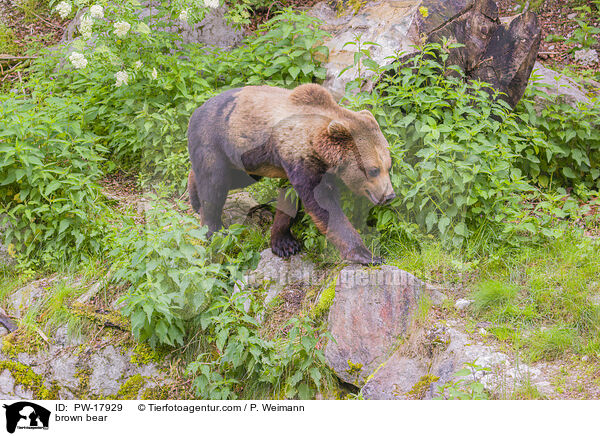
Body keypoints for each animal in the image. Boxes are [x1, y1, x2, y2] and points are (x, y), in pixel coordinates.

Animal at [186, 83, 394, 264]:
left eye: (388, 166)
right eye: (373, 170)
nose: (389, 195)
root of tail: (196, 110)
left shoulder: (296, 164)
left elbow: (289, 198)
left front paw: (284, 243)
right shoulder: (301, 159)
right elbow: (324, 204)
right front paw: (366, 254)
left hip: (245, 159)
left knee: (232, 178)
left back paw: (194, 196)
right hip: (214, 140)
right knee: (215, 184)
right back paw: (214, 229)